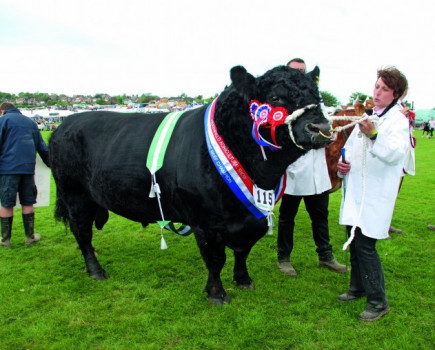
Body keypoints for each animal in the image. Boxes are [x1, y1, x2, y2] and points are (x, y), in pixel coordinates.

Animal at [49, 65, 332, 304]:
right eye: (275, 98)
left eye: (317, 96)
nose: (320, 127)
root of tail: (64, 124)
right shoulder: (205, 221)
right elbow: (215, 258)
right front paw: (216, 294)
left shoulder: (251, 216)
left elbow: (242, 250)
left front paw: (243, 280)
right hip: (74, 196)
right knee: (82, 234)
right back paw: (96, 271)